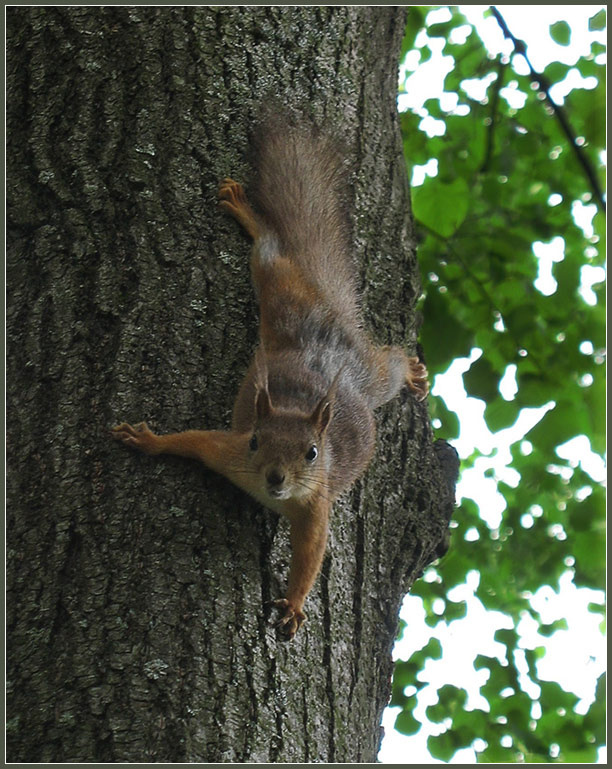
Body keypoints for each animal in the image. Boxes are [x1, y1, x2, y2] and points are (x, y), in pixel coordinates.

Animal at [111, 119, 428, 640]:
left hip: (363, 371)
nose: (276, 478)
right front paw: (149, 440)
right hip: (282, 295)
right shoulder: (229, 452)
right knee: (272, 252)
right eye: (258, 441)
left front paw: (295, 604)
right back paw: (246, 212)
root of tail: (325, 333)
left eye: (313, 453)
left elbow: (310, 555)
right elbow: (191, 440)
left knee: (389, 363)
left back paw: (414, 373)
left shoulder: (317, 503)